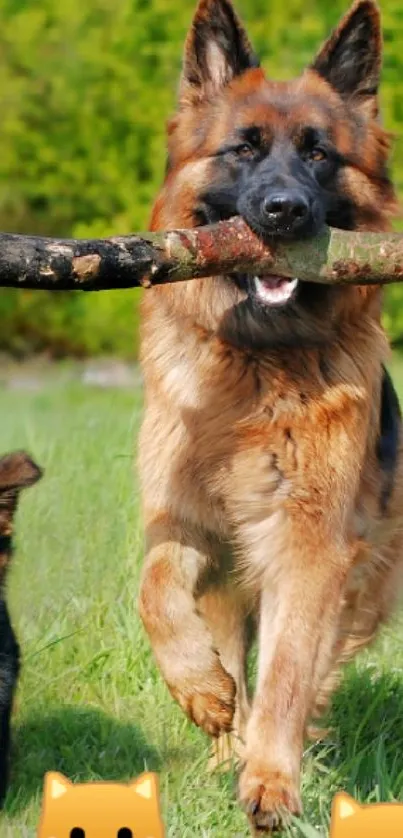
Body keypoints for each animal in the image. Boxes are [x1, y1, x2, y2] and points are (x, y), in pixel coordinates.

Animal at [139, 3, 403, 832]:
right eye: (243, 149)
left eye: (317, 155)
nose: (283, 212)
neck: (257, 365)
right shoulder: (186, 522)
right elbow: (155, 591)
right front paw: (199, 689)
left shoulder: (309, 545)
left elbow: (288, 670)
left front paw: (271, 783)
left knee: (309, 666)